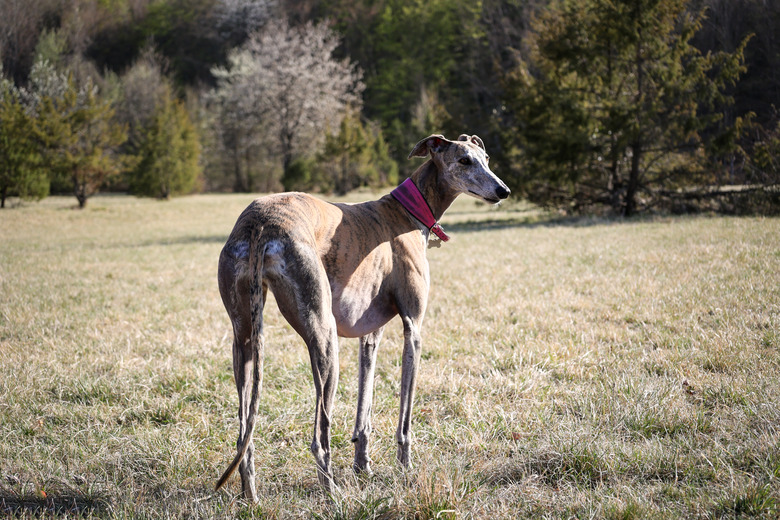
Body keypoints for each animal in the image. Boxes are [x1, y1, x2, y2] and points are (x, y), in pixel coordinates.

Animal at [215, 133, 512, 500]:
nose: (503, 191)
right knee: (320, 436)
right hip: (324, 338)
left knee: (245, 432)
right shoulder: (413, 329)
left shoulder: (371, 334)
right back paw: (332, 494)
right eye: (464, 161)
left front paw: (363, 465)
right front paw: (405, 467)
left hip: (243, 339)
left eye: (486, 158)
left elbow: (364, 403)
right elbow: (405, 414)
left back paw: (251, 495)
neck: (408, 210)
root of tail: (260, 223)